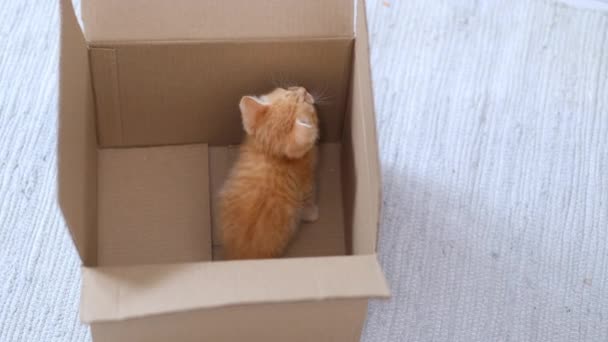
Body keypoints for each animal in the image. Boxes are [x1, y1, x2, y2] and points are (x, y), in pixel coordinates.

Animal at [220, 86, 324, 260]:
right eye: (291, 92)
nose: (303, 89)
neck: (274, 154)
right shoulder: (307, 182)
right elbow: (307, 202)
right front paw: (313, 213)